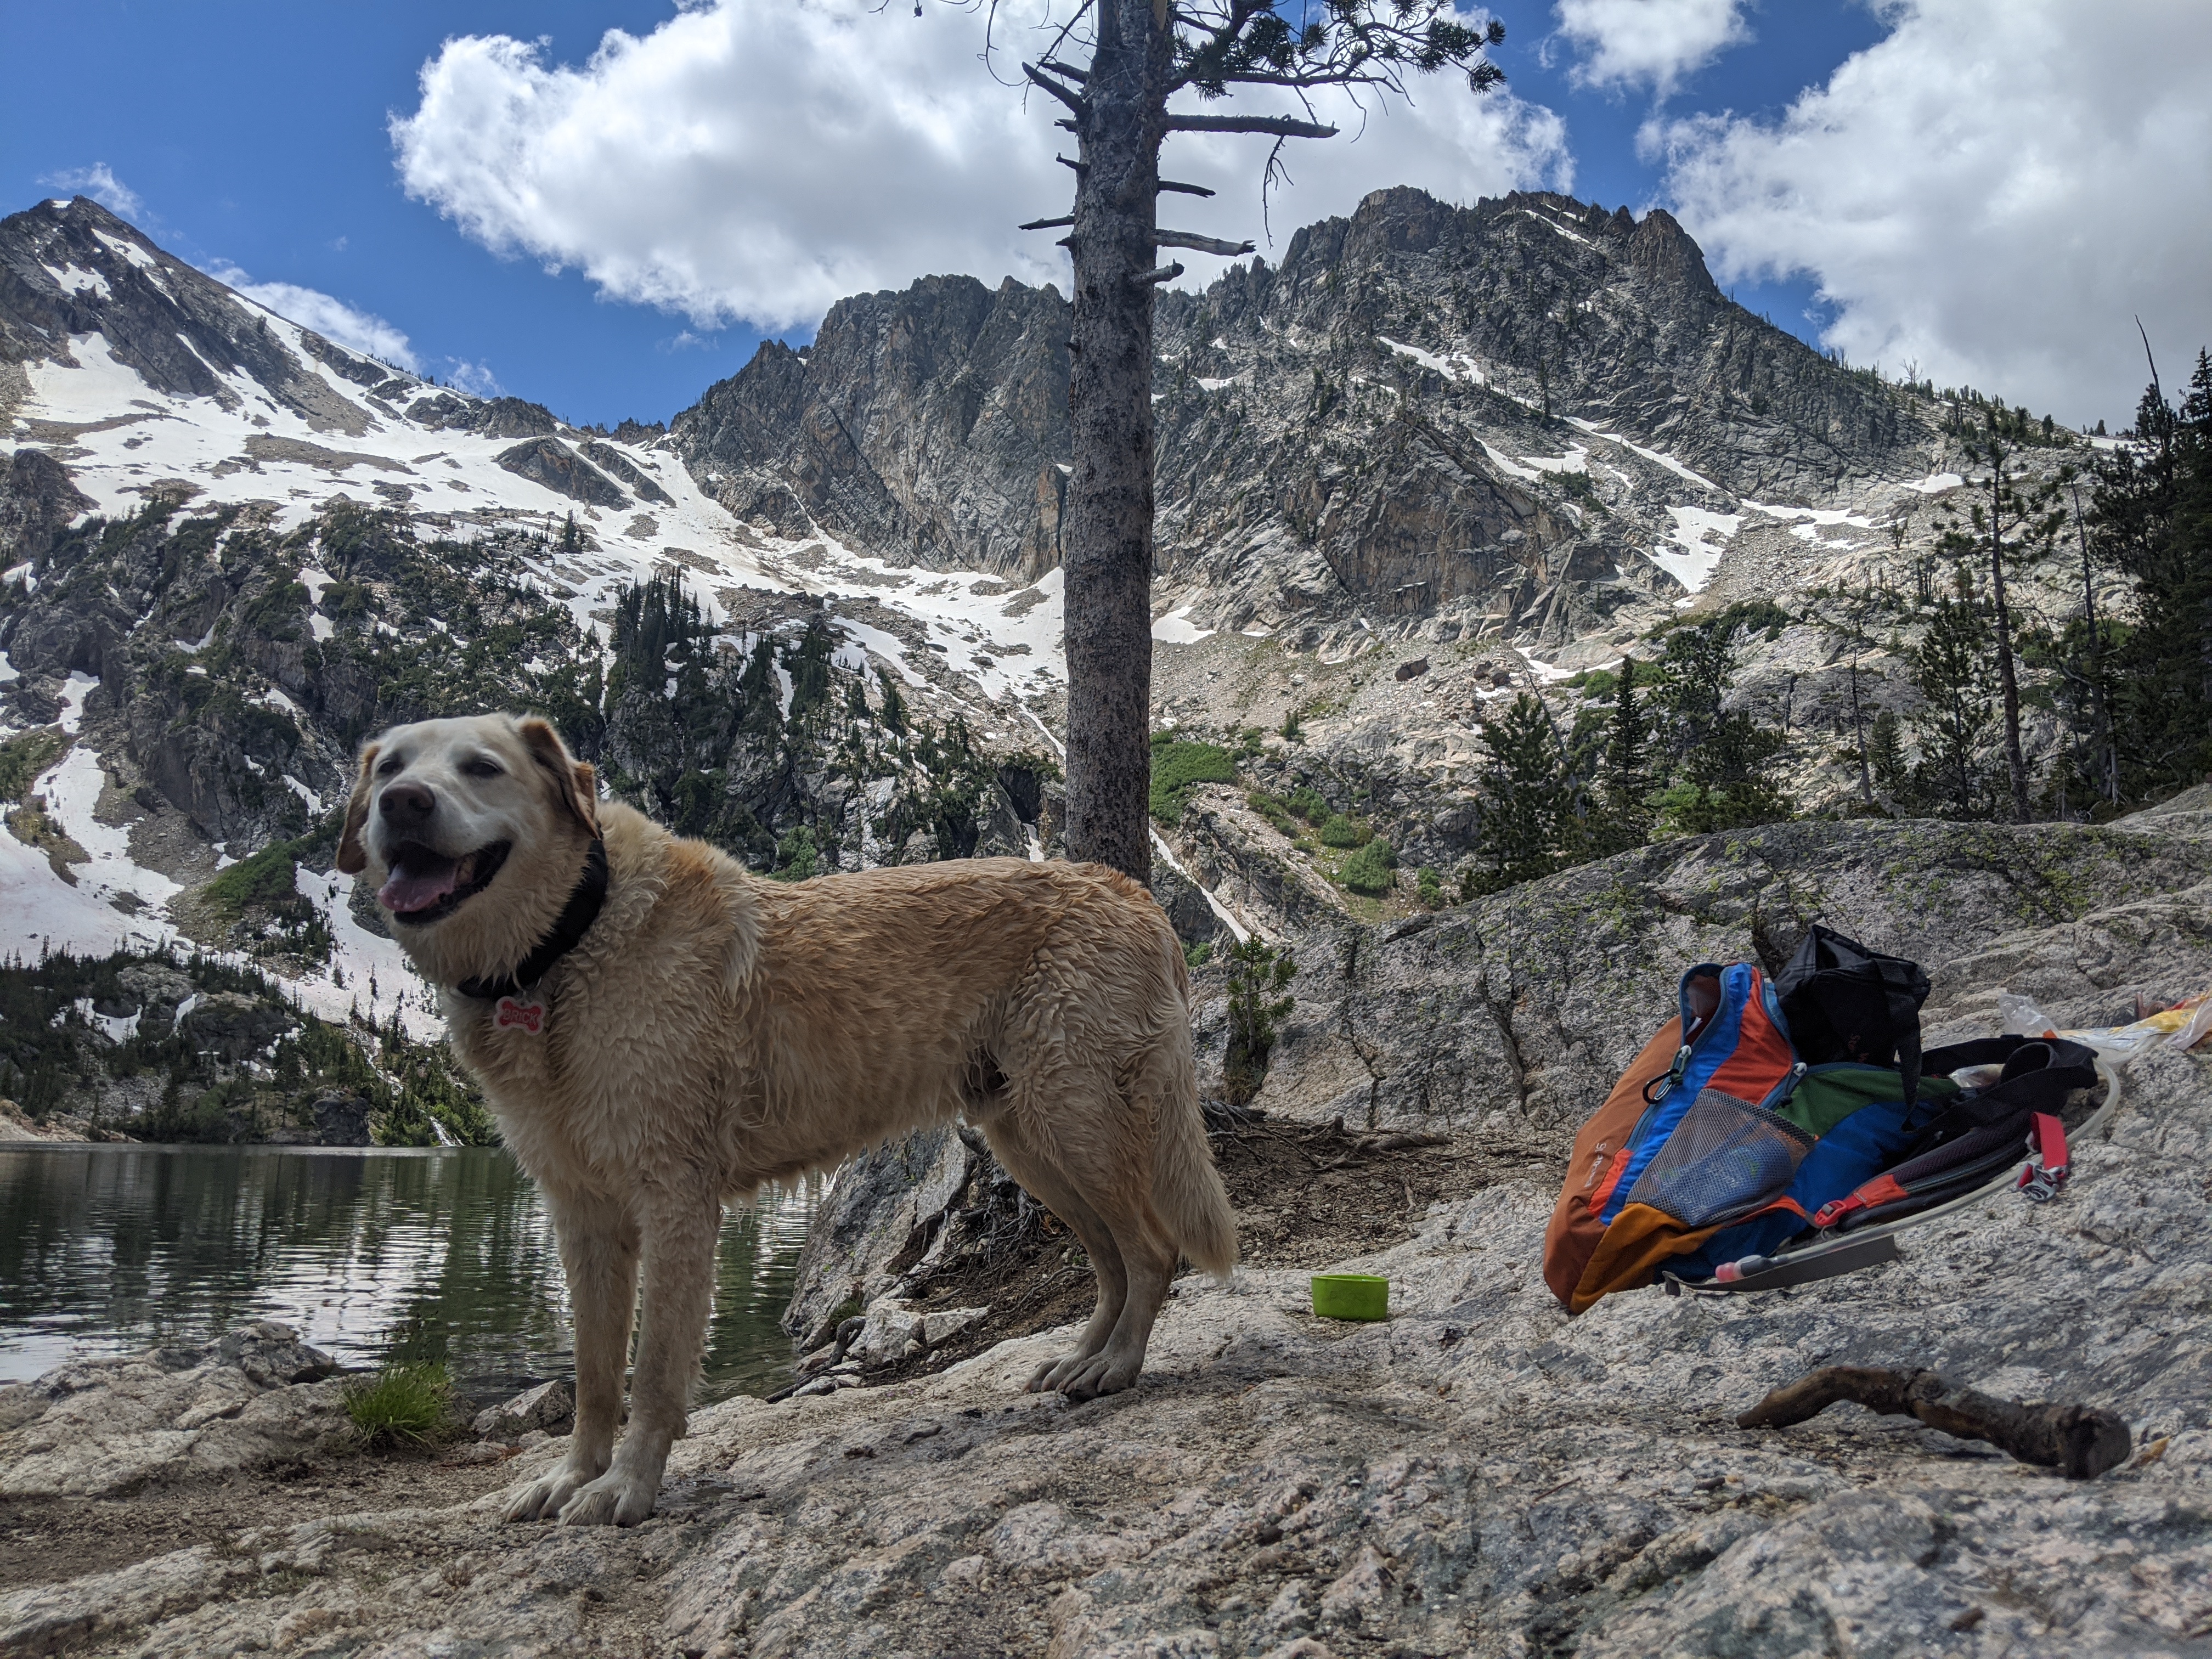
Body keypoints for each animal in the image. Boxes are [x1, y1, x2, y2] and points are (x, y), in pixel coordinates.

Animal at [334, 716, 1238, 1531]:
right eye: (391, 770)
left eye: (482, 767)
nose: (405, 804)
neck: (563, 944)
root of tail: (1130, 890)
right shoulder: (582, 1216)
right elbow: (593, 1374)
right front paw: (572, 1476)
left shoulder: (675, 1202)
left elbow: (653, 1372)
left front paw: (627, 1489)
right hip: (1034, 1143)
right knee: (1113, 1259)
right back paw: (1083, 1359)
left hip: (1074, 1117)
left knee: (1153, 1250)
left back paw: (1118, 1368)